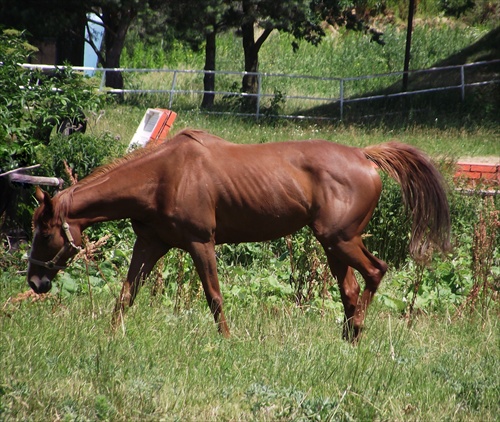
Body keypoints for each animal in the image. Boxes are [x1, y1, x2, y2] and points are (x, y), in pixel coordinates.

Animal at [25, 129, 452, 340]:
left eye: (44, 234)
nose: (34, 282)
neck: (163, 176)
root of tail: (365, 156)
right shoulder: (150, 244)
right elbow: (126, 295)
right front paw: (112, 338)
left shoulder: (201, 243)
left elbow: (214, 297)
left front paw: (228, 341)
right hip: (334, 245)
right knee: (350, 288)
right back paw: (348, 338)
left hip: (341, 241)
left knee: (376, 272)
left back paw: (358, 328)